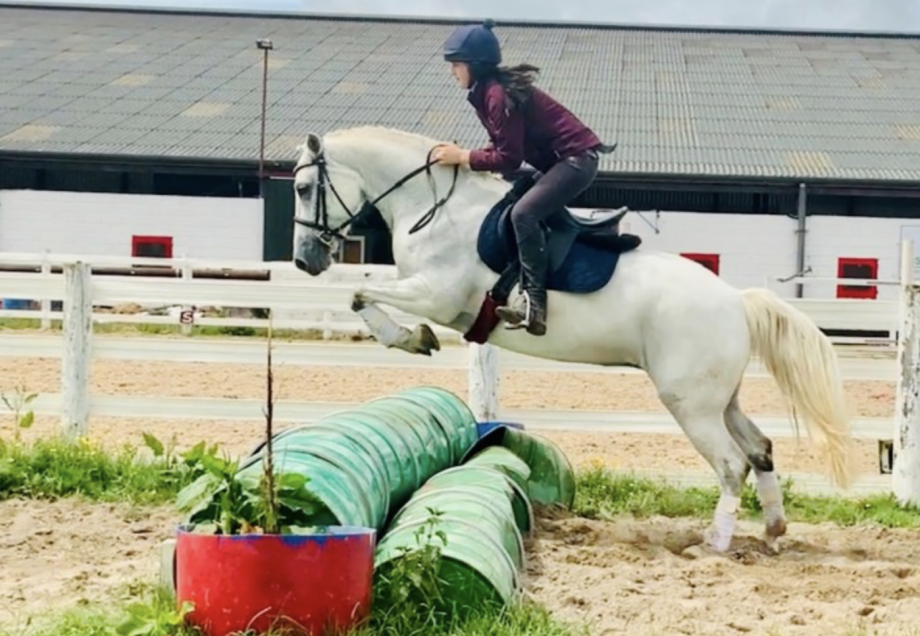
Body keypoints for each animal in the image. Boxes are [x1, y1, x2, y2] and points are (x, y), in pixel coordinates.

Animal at [289, 124, 856, 554]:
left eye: (302, 189)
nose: (304, 261)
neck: (435, 207)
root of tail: (737, 300)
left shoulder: (436, 295)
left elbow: (359, 294)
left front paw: (410, 337)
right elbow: (360, 296)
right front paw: (412, 338)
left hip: (690, 404)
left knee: (731, 464)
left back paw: (713, 545)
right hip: (721, 399)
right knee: (759, 449)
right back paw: (774, 530)